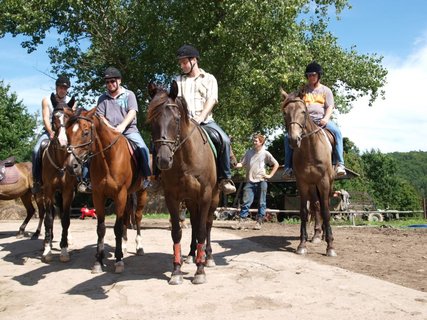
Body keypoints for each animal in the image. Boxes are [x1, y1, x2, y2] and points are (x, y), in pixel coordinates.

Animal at [64, 107, 149, 272]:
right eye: (67, 132)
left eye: (85, 132)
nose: (72, 166)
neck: (108, 158)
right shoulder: (98, 195)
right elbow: (101, 228)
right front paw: (98, 261)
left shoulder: (120, 194)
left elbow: (117, 227)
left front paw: (118, 261)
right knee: (126, 218)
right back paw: (124, 247)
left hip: (141, 192)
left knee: (137, 217)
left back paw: (139, 247)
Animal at [148, 80, 221, 284]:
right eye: (152, 121)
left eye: (176, 119)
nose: (164, 160)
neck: (185, 160)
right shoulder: (172, 198)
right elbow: (177, 232)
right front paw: (176, 271)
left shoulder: (205, 196)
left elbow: (203, 230)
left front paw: (200, 271)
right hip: (190, 201)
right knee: (195, 223)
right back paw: (191, 255)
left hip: (213, 199)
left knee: (207, 224)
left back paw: (207, 257)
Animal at [280, 89, 338, 258]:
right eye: (285, 112)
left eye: (303, 111)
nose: (294, 139)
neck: (310, 149)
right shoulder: (303, 183)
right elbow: (304, 212)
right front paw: (302, 244)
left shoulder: (324, 182)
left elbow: (326, 211)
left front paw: (330, 247)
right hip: (313, 186)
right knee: (316, 206)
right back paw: (317, 235)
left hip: (328, 183)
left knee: (324, 206)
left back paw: (325, 235)